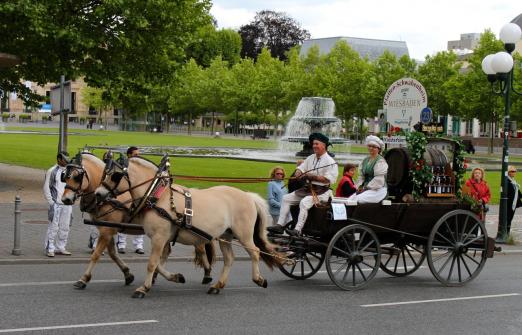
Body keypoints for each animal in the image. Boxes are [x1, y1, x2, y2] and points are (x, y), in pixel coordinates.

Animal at [61, 154, 213, 290]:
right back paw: (158, 276)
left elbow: (96, 255)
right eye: (64, 176)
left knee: (200, 248)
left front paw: (83, 279)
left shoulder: (107, 231)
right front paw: (128, 274)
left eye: (77, 176)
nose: (65, 199)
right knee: (168, 251)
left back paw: (207, 273)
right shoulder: (107, 229)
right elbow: (113, 253)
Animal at [93, 156, 280, 298]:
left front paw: (143, 288)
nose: (98, 194)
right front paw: (176, 277)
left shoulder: (159, 237)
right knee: (229, 259)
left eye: (115, 176)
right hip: (226, 235)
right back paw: (218, 285)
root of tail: (248, 196)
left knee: (255, 252)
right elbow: (158, 264)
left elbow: (152, 263)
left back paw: (258, 279)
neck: (157, 196)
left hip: (243, 234)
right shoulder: (163, 239)